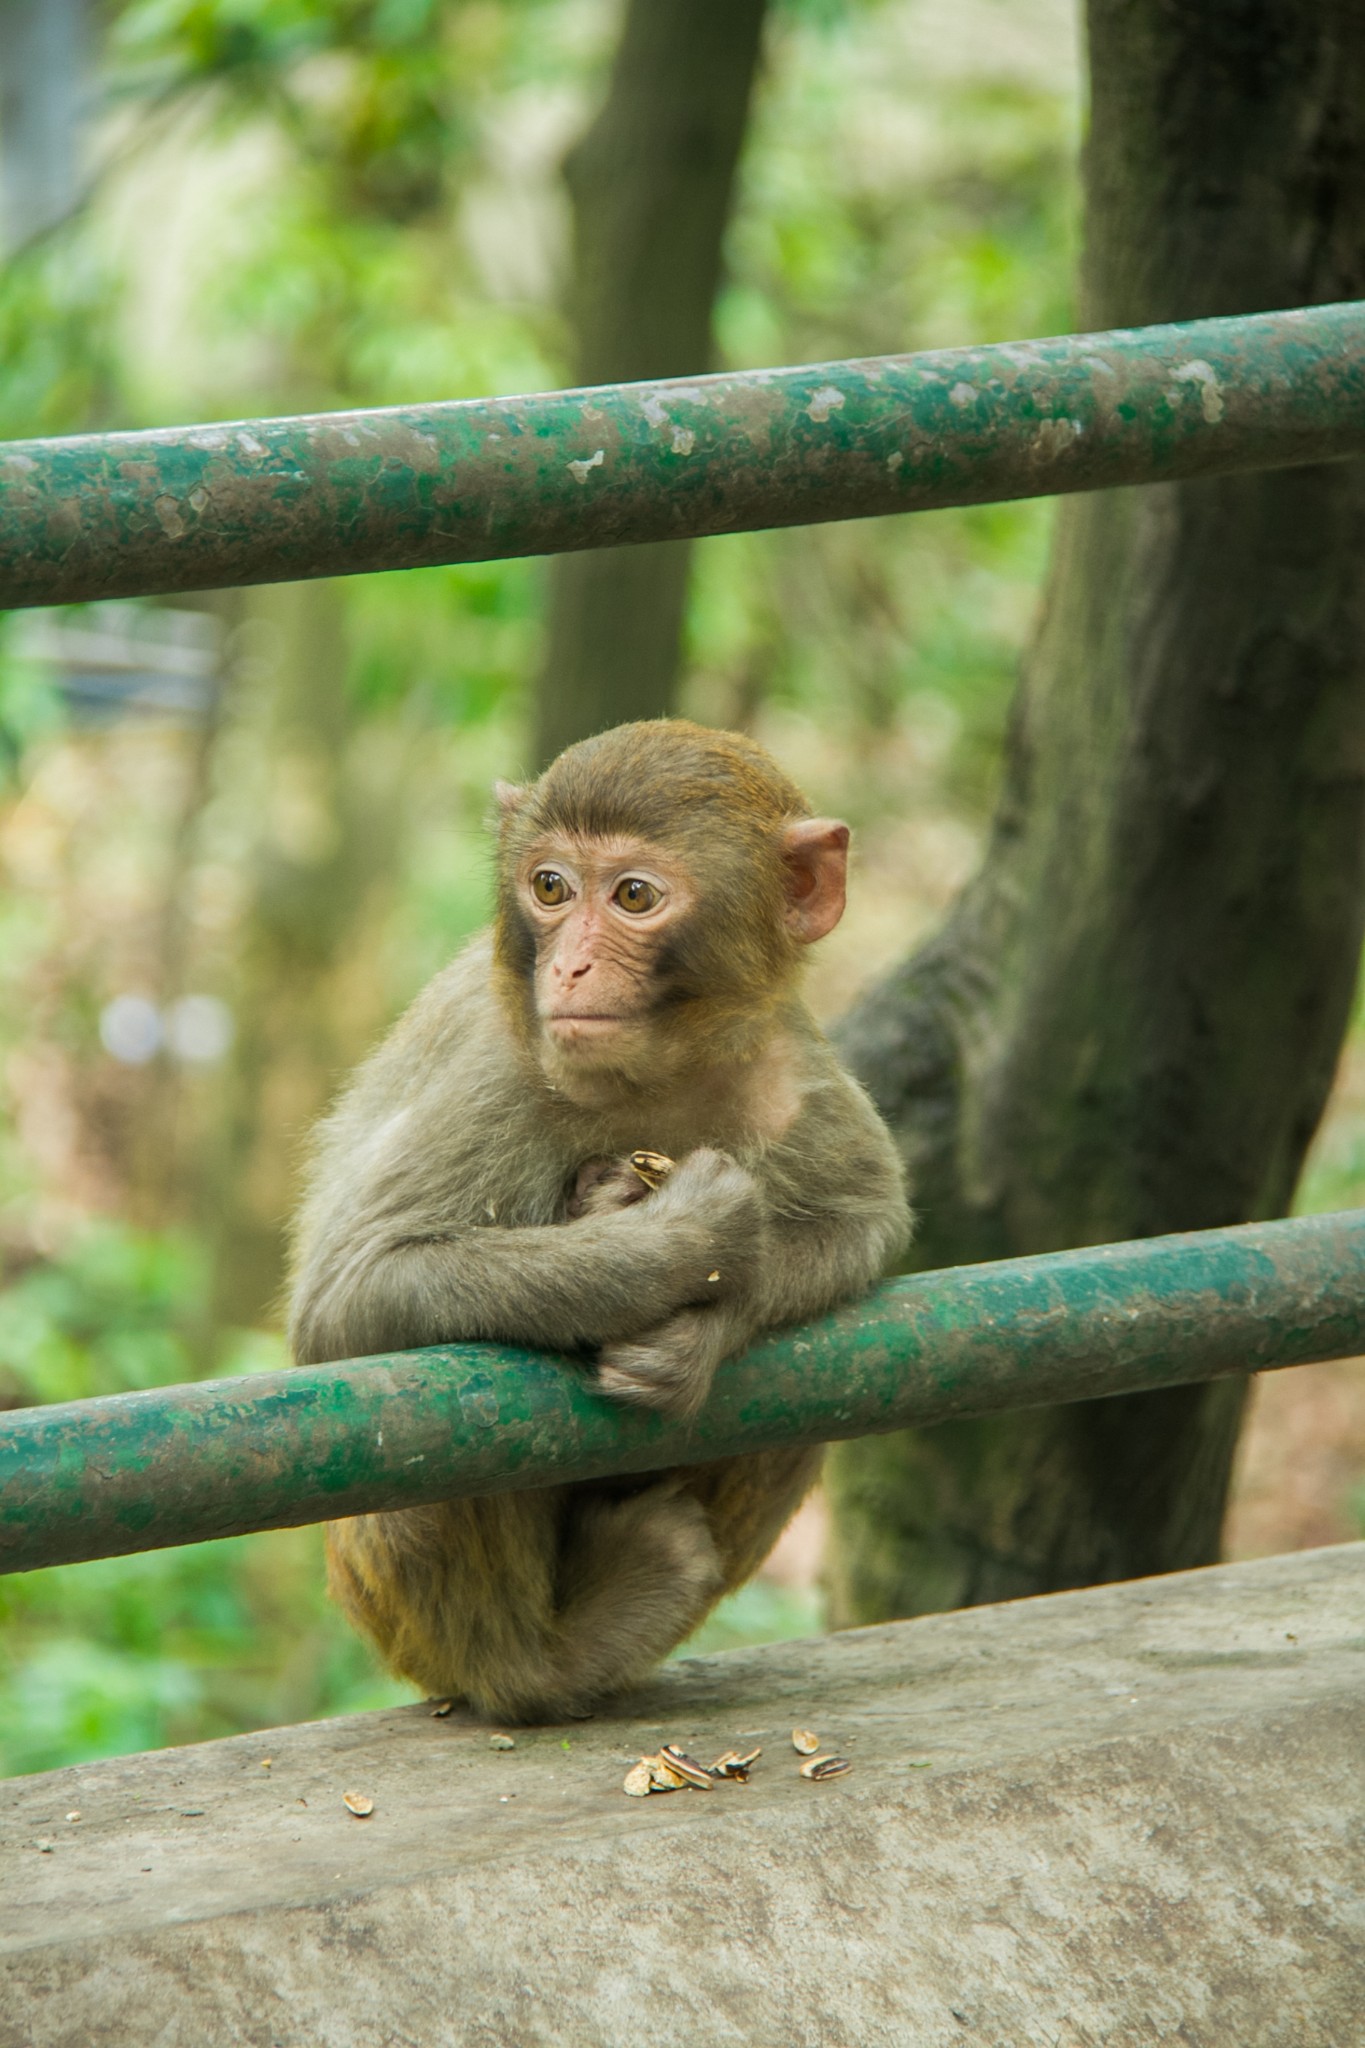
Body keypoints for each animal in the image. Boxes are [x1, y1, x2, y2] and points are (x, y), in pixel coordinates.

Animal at [286, 712, 908, 1720]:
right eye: (550, 887)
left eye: (633, 896)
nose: (572, 965)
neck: (654, 1071)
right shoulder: (495, 1071)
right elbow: (349, 1302)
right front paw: (677, 1239)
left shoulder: (793, 1068)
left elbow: (867, 1223)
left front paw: (694, 1337)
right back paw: (543, 1663)